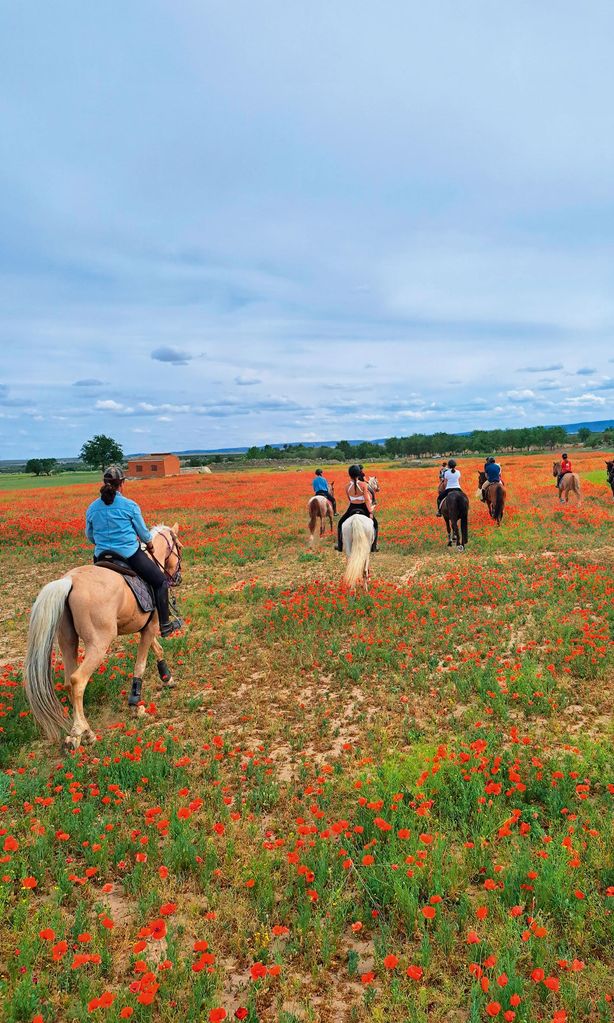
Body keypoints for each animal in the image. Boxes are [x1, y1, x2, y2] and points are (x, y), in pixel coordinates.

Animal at [25, 519, 182, 752]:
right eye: (179, 546)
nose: (177, 577)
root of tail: (70, 580)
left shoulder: (146, 627)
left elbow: (157, 649)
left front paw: (167, 678)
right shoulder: (152, 625)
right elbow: (141, 664)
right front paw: (135, 705)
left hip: (67, 641)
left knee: (69, 683)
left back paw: (81, 731)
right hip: (99, 644)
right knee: (78, 680)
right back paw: (81, 734)